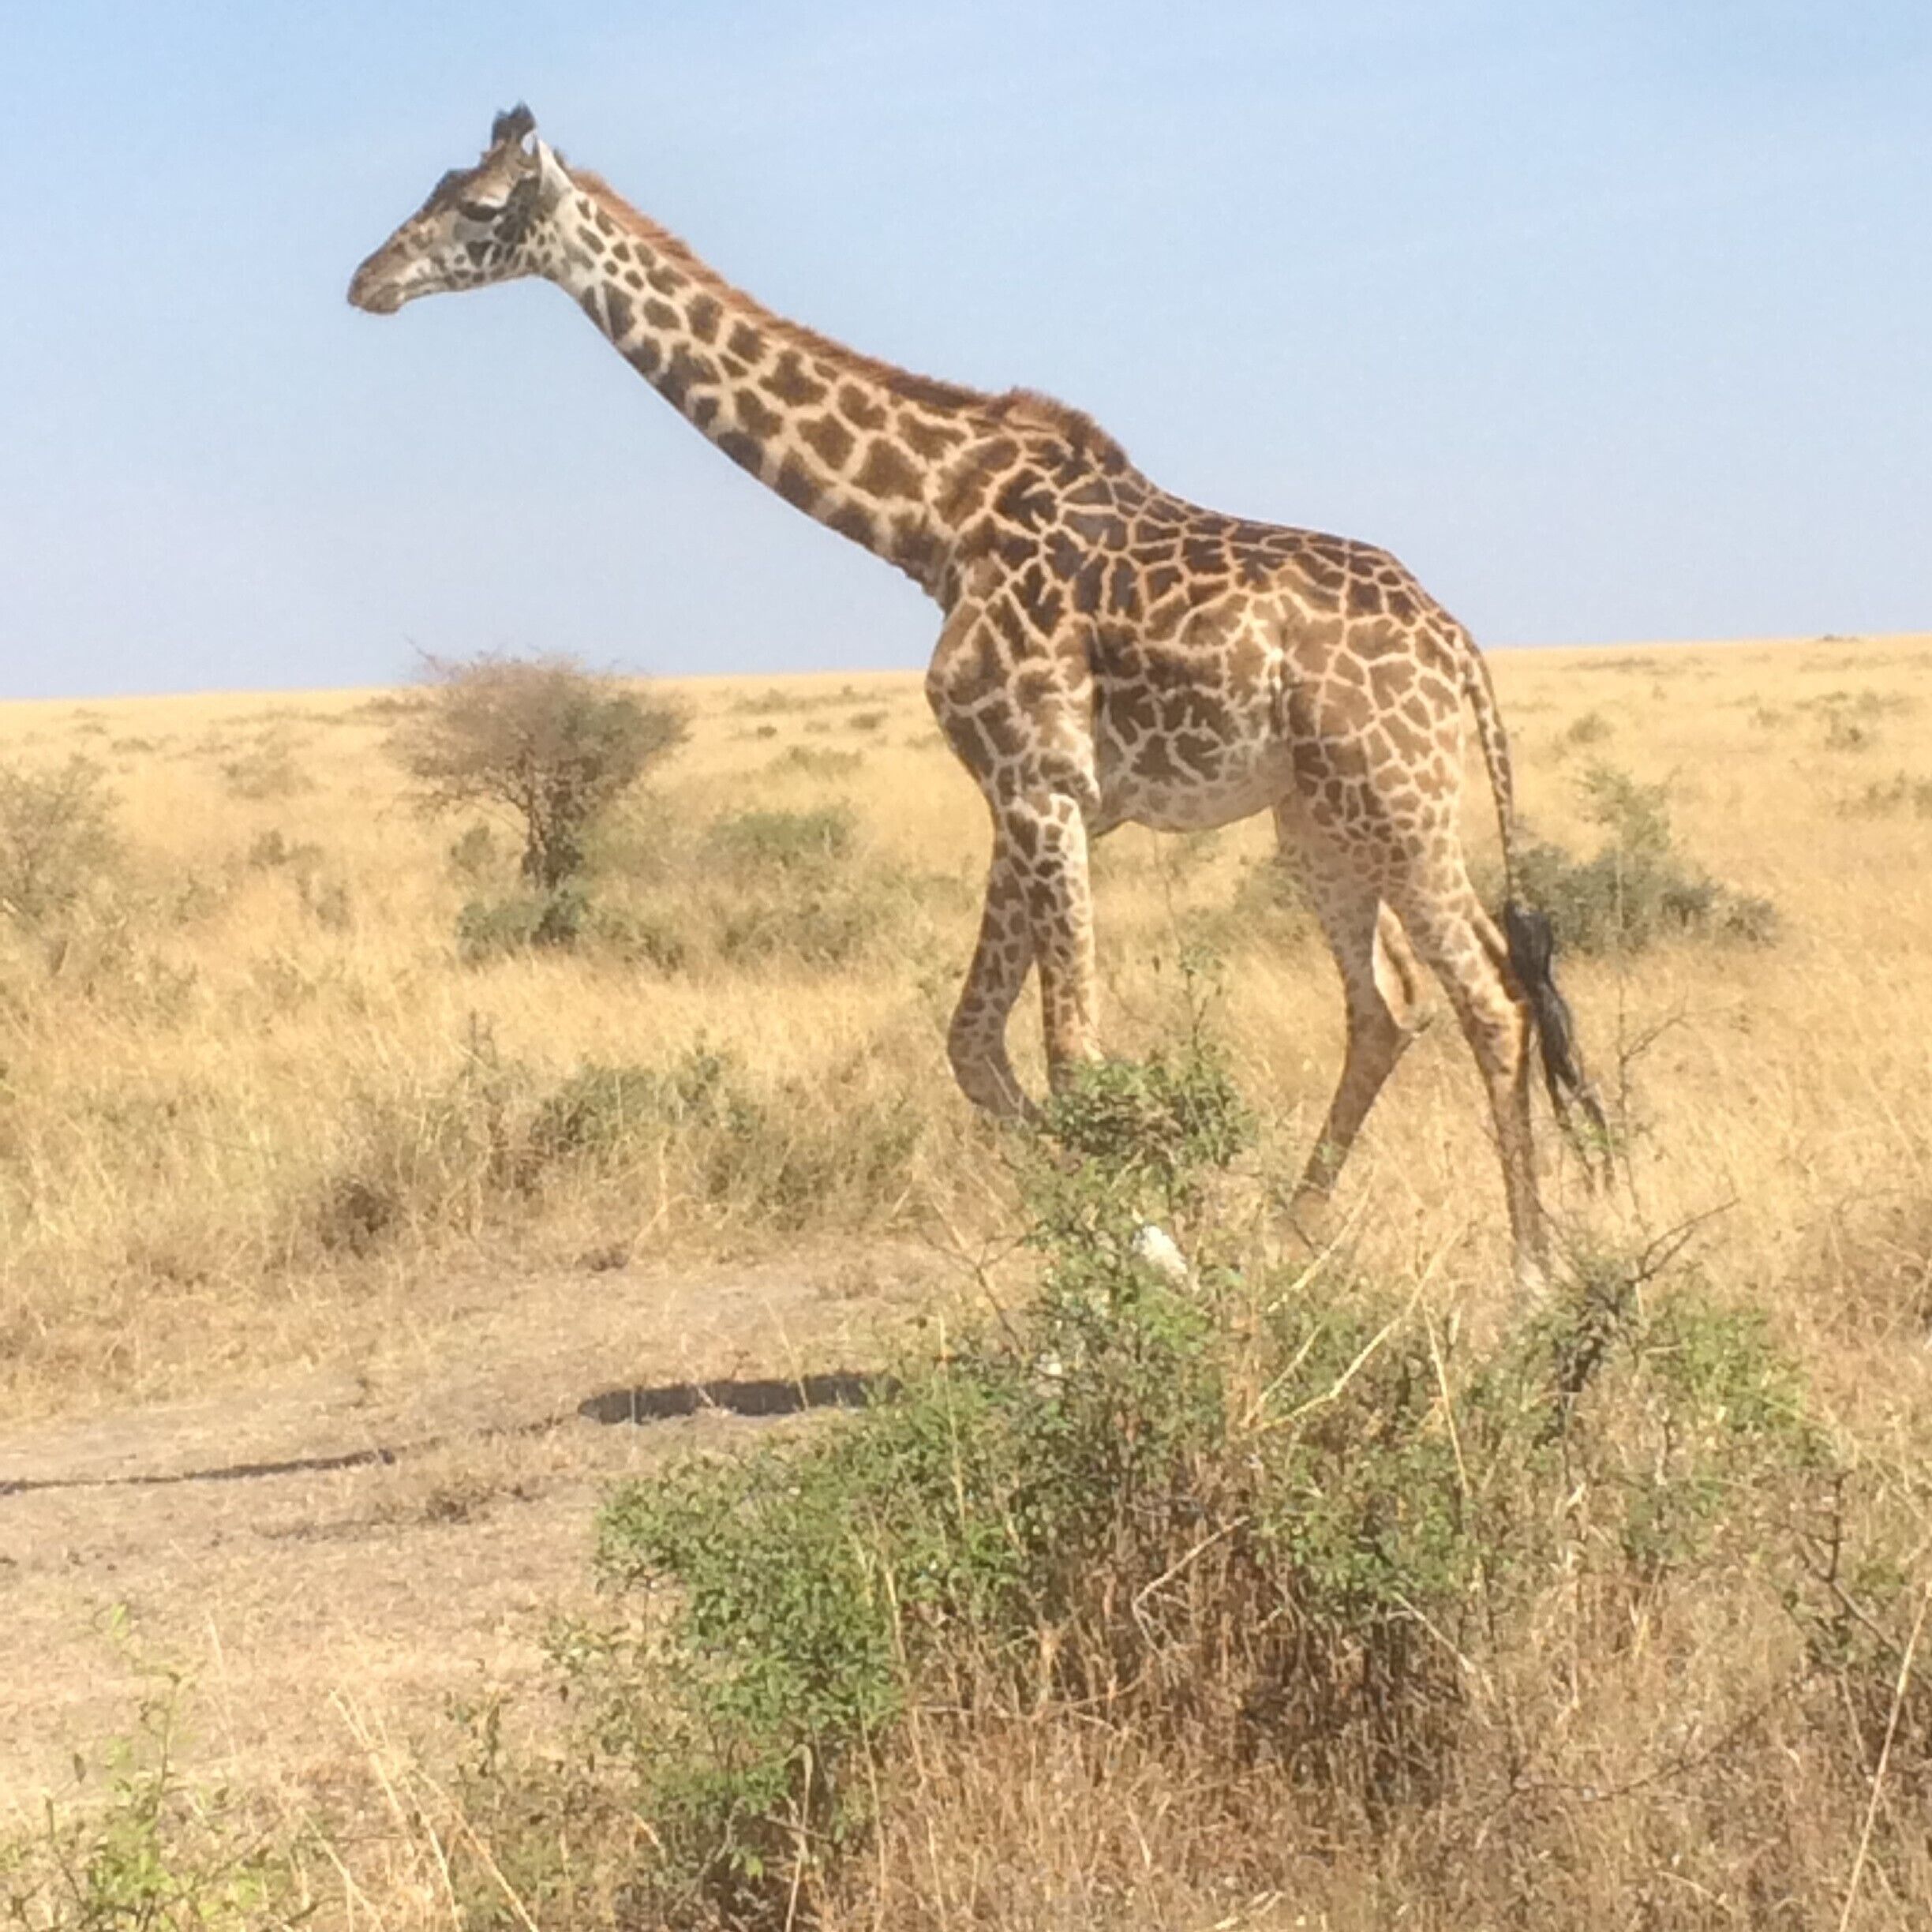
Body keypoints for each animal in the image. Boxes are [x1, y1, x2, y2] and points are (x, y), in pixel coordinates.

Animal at [349, 106, 1602, 1288]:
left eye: (481, 208)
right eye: (437, 188)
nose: (367, 281)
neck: (931, 523)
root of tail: (1457, 646)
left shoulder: (1043, 787)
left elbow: (1070, 1051)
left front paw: (1149, 1254)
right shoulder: (1025, 794)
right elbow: (973, 1047)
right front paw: (1129, 1241)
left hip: (1399, 800)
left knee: (1493, 995)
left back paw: (1532, 1276)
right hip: (1320, 822)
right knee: (1389, 1003)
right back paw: (1288, 1241)